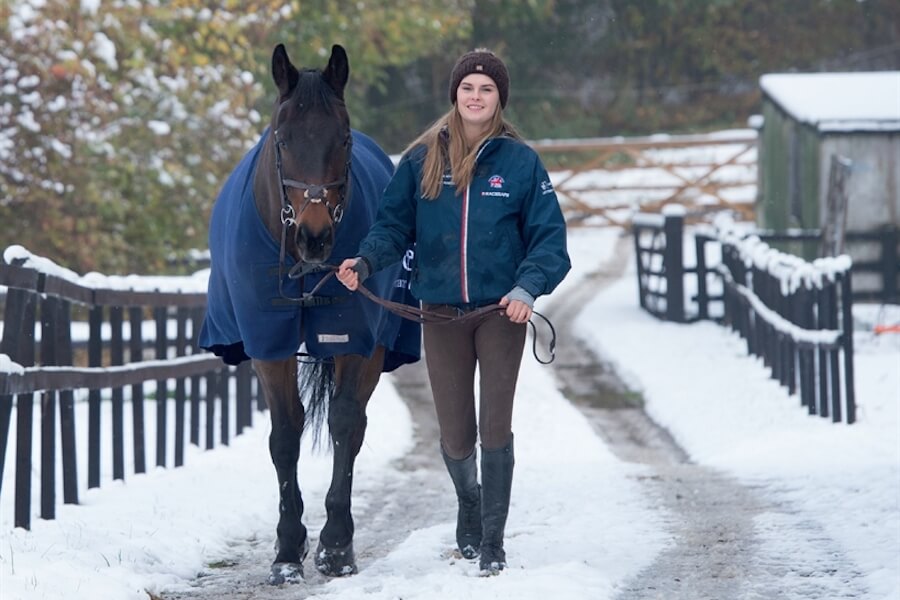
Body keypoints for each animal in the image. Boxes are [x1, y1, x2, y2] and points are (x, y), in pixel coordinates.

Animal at [198, 43, 421, 583]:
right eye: (282, 139)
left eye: (343, 137)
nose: (314, 237)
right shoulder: (268, 344)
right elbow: (285, 435)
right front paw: (286, 549)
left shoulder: (356, 340)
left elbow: (344, 424)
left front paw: (335, 546)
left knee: (353, 425)